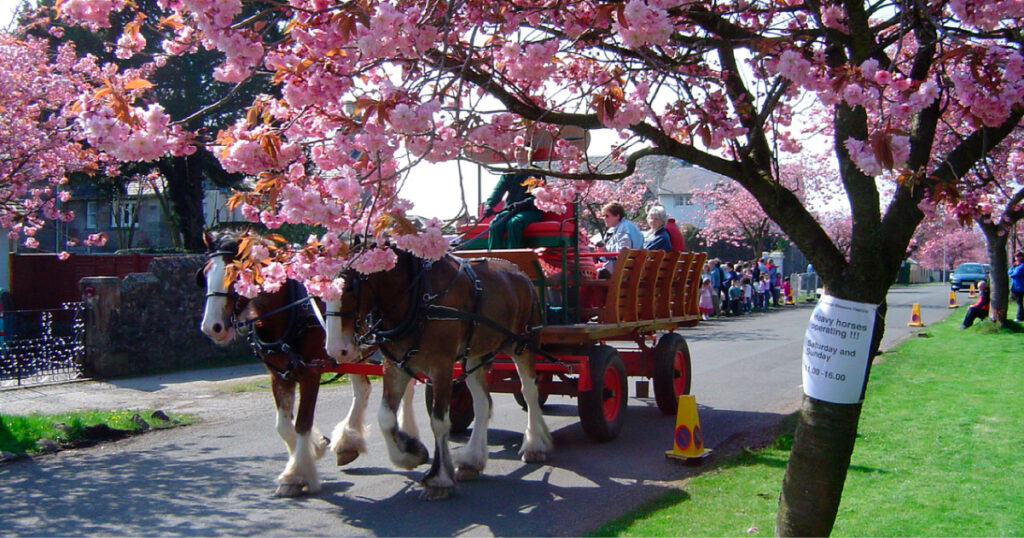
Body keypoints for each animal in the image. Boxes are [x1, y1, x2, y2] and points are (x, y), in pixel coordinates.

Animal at [195, 229, 419, 495]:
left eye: (238, 274)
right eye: (205, 274)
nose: (212, 327)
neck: (289, 311)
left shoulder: (311, 373)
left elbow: (302, 423)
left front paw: (296, 474)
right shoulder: (279, 375)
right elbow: (283, 426)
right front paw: (316, 447)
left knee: (405, 388)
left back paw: (406, 433)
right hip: (350, 351)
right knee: (363, 388)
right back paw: (348, 442)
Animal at [325, 244, 552, 498]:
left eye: (351, 287)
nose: (336, 350)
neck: (417, 298)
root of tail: (521, 274)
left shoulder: (442, 366)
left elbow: (439, 421)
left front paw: (439, 478)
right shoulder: (395, 366)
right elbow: (385, 417)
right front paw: (410, 454)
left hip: (523, 345)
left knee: (530, 393)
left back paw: (535, 445)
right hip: (474, 356)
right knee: (483, 403)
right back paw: (472, 460)